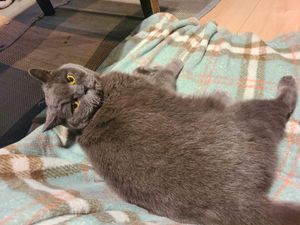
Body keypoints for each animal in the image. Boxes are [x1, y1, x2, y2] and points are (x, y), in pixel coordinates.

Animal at [28, 60, 300, 225]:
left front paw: (145, 66)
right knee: (282, 105)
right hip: (251, 115)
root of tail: (242, 201)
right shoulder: (161, 83)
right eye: (74, 104)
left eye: (70, 79)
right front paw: (173, 63)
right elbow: (168, 72)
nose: (81, 91)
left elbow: (149, 71)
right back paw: (286, 80)